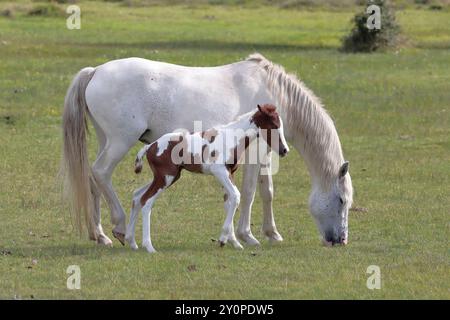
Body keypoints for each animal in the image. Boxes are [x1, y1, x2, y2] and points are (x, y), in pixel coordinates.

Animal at [125, 104, 290, 252]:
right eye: (274, 125)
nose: (284, 150)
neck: (233, 137)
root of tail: (151, 146)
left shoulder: (229, 173)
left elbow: (229, 201)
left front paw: (234, 243)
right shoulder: (219, 171)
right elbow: (236, 196)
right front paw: (223, 240)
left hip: (167, 177)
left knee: (137, 196)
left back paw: (131, 241)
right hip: (166, 178)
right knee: (146, 201)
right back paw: (149, 246)